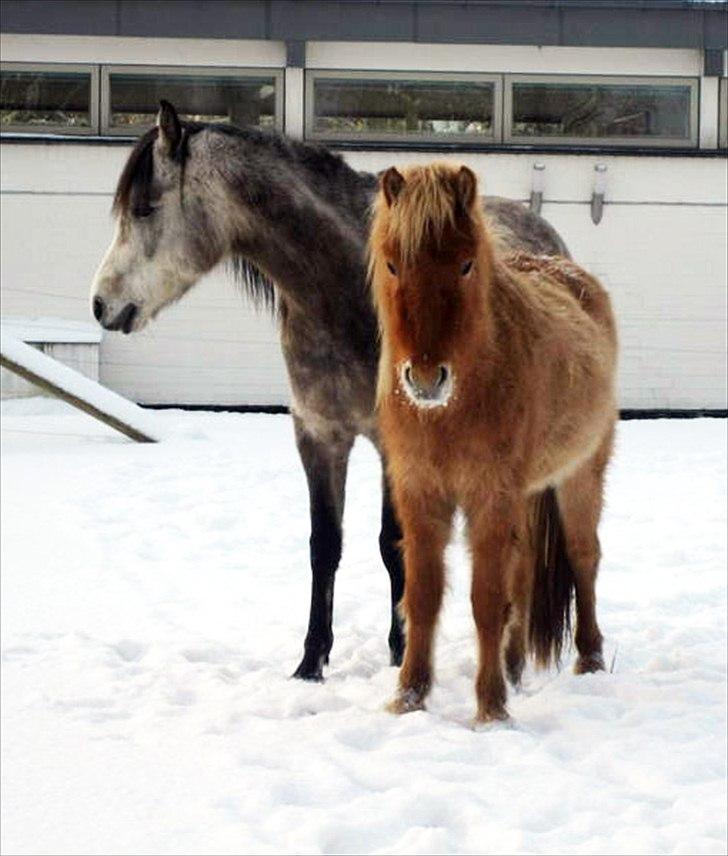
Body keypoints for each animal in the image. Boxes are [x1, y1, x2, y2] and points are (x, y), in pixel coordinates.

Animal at [92, 100, 568, 680]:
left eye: (144, 208)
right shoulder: (318, 434)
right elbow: (325, 545)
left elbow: (393, 543)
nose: (100, 304)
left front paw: (399, 648)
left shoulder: (393, 442)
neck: (345, 294)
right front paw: (311, 660)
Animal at [372, 162, 616, 724]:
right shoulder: (421, 494)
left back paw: (590, 659)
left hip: (580, 474)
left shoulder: (489, 496)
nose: (426, 379)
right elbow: (423, 597)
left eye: (465, 265)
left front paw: (490, 709)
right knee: (523, 568)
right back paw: (514, 664)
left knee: (584, 556)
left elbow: (485, 599)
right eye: (393, 265)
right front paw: (410, 696)